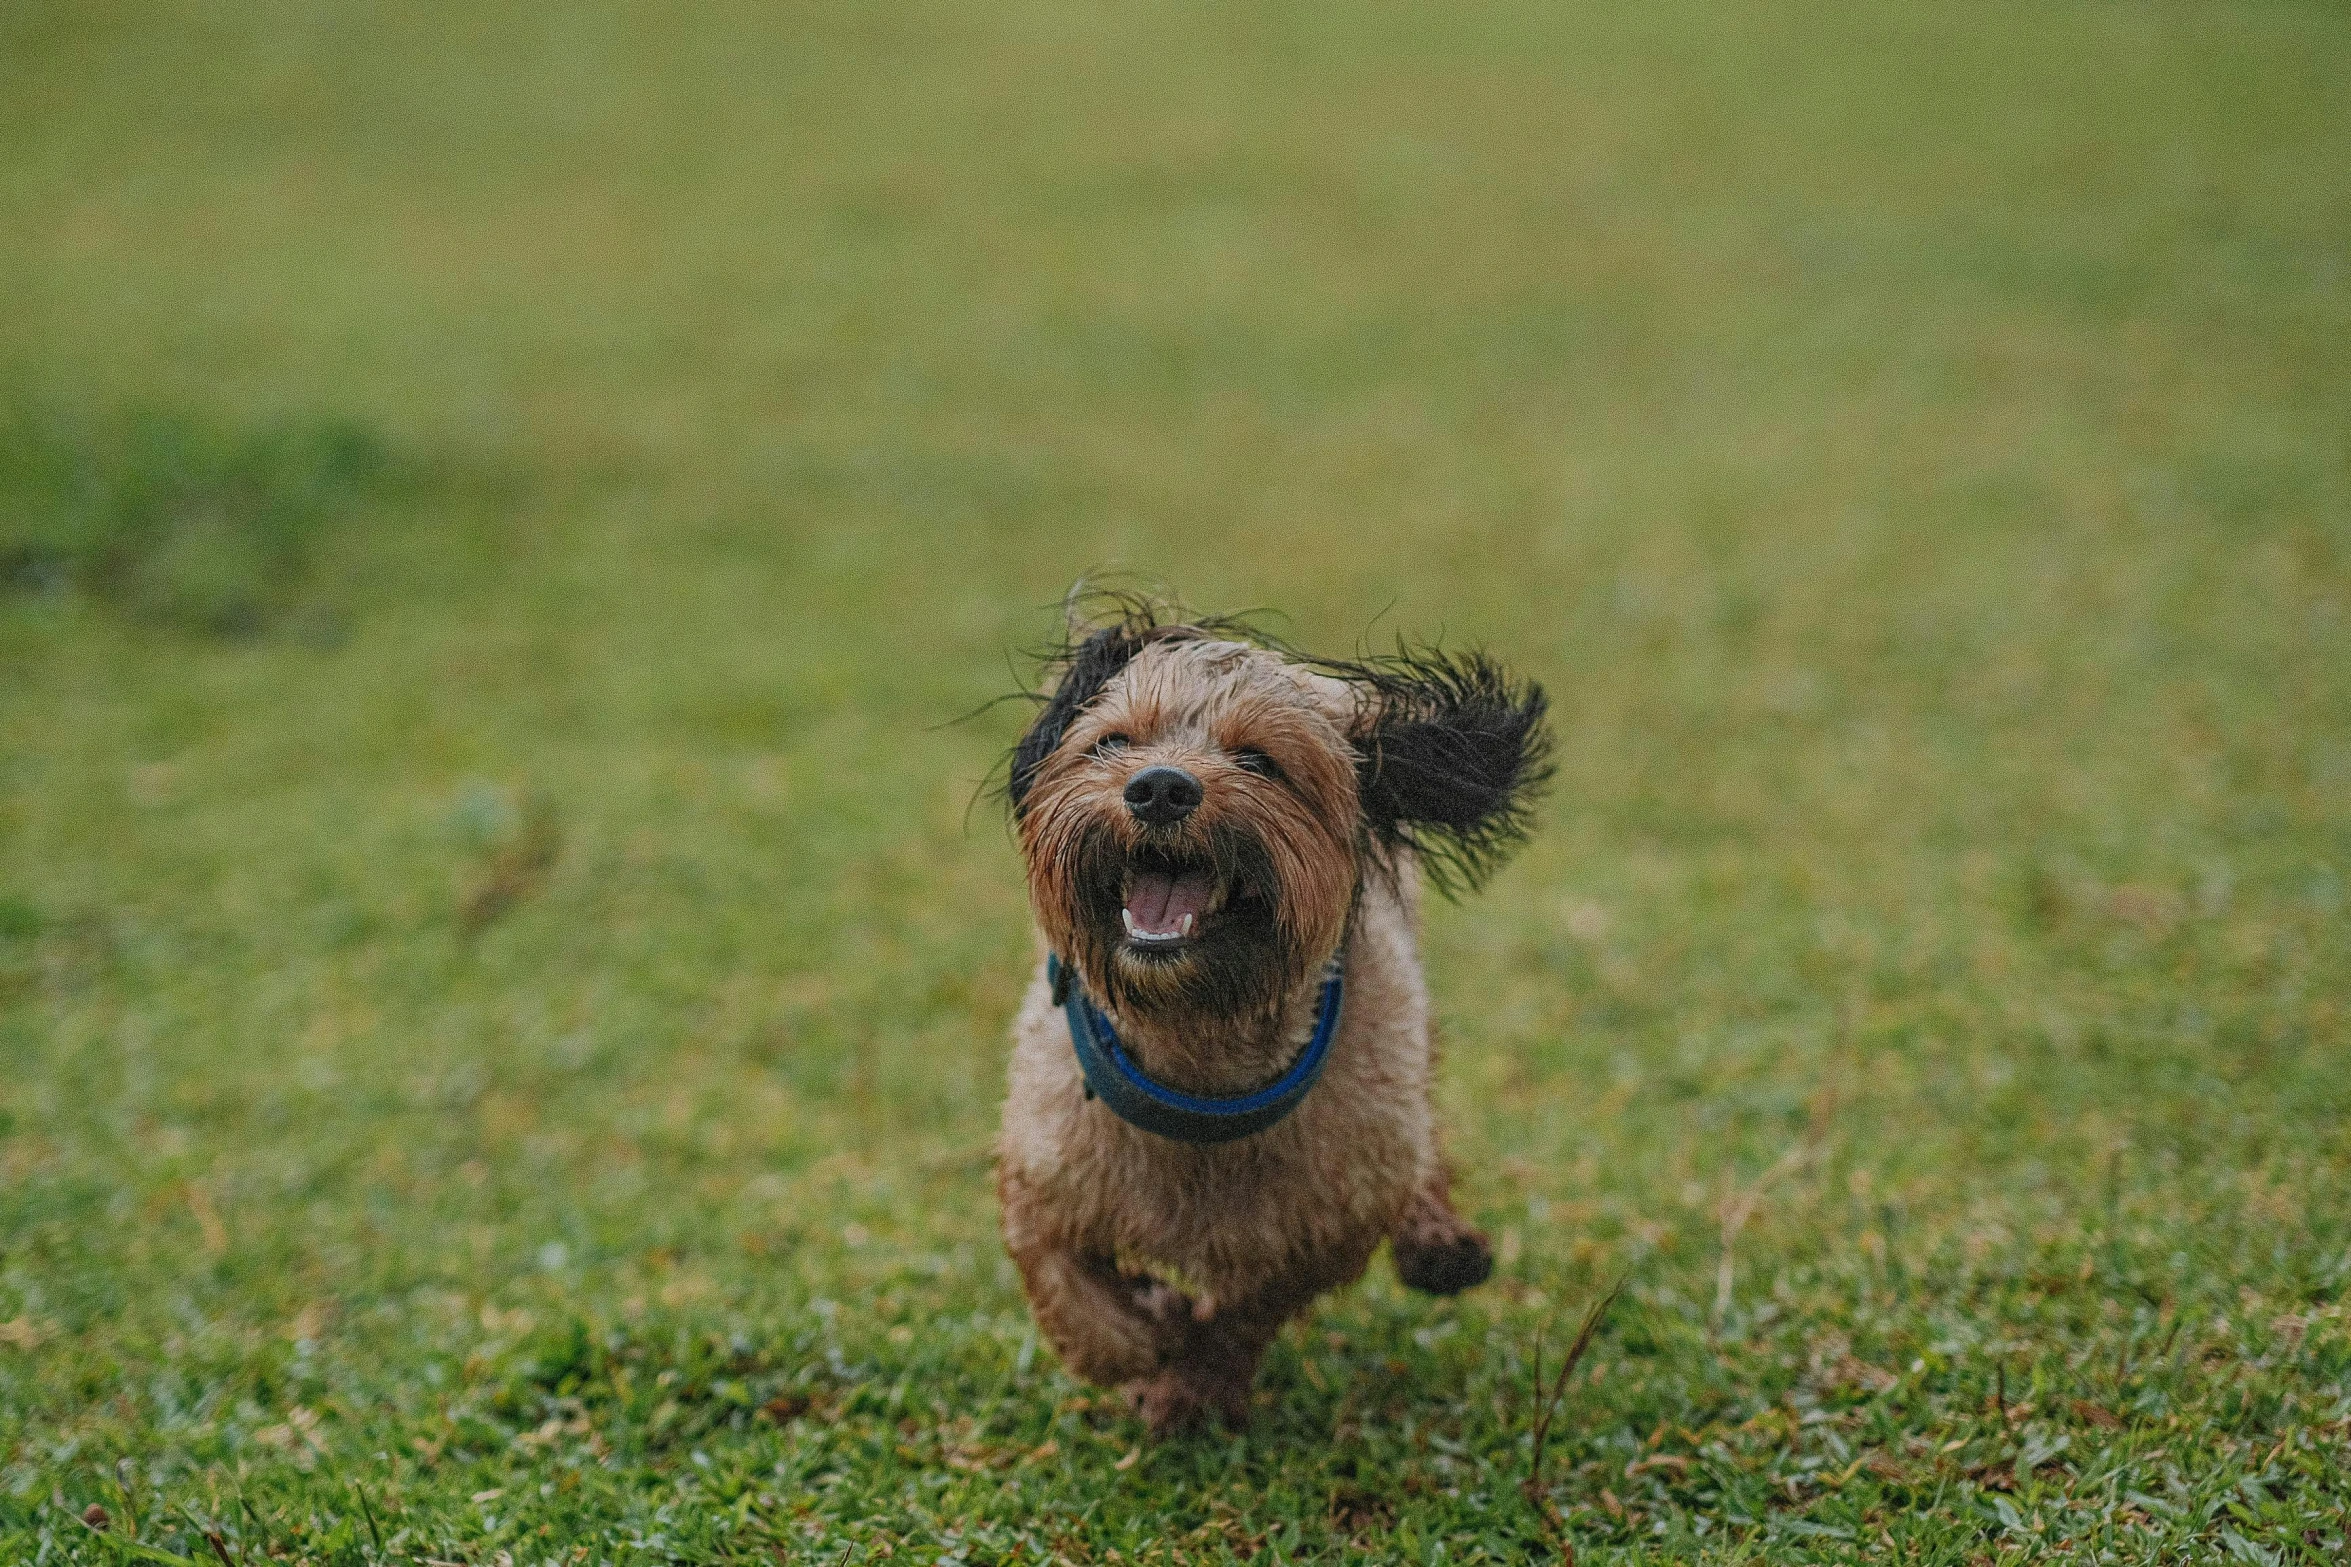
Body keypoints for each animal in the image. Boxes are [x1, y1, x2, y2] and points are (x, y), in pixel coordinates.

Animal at [987, 601, 1542, 1437]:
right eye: (1111, 742)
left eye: (1260, 760)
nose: (1158, 787)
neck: (1196, 1050)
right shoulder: (1039, 1170)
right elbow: (1071, 1295)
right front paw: (1148, 1328)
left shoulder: (1330, 1215)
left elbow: (1247, 1307)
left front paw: (1192, 1382)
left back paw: (1438, 1242)